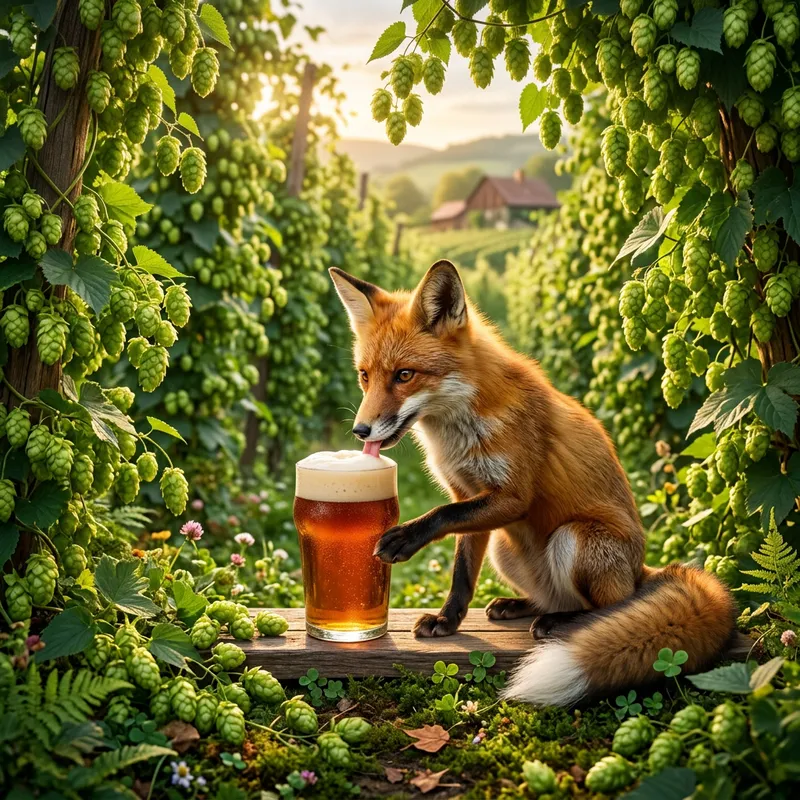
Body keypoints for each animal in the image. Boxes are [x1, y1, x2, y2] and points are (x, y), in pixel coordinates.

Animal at [328, 259, 740, 707]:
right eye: (364, 376)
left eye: (405, 375)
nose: (360, 430)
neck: (462, 424)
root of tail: (640, 570)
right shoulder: (470, 495)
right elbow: (461, 573)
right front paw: (447, 620)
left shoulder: (512, 496)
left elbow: (441, 515)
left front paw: (404, 537)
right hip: (505, 550)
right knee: (553, 596)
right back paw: (520, 605)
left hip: (574, 538)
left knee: (612, 605)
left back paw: (562, 623)